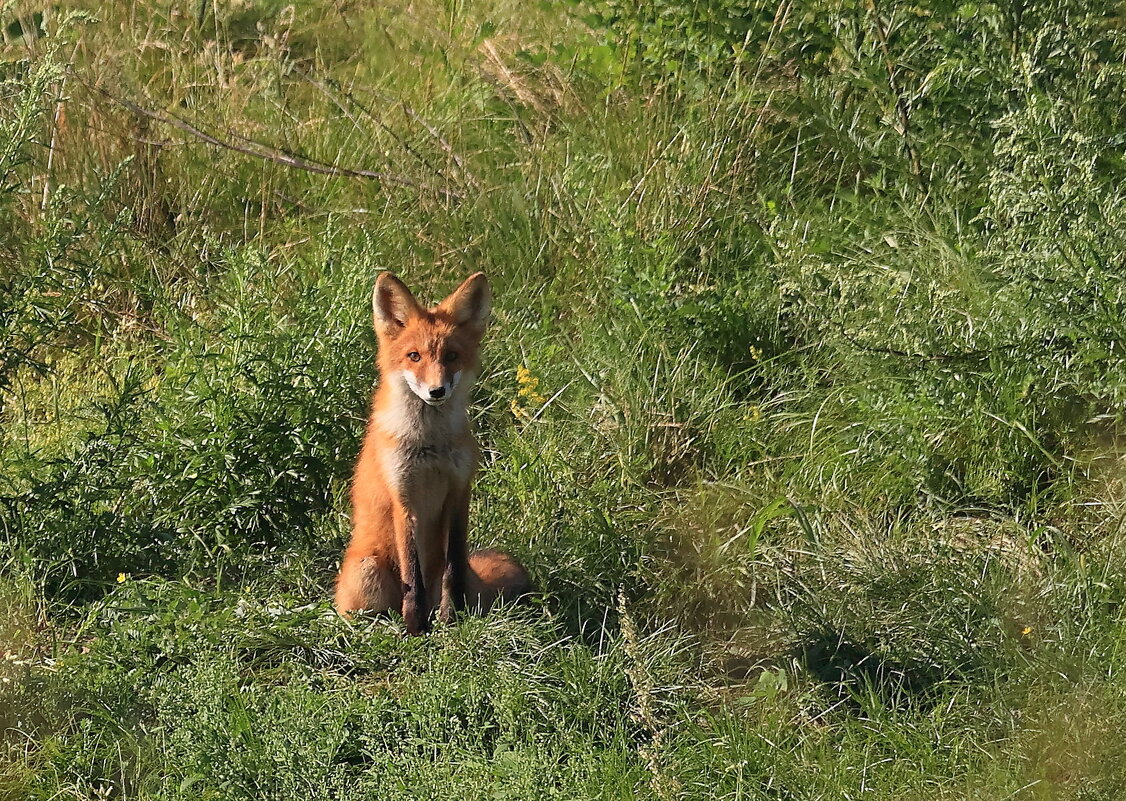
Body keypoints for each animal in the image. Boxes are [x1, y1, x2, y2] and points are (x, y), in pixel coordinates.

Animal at [333, 272, 531, 635]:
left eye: (451, 356)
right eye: (414, 356)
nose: (436, 391)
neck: (430, 447)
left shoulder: (458, 493)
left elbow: (452, 570)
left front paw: (450, 618)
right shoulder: (403, 498)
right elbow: (413, 577)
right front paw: (415, 628)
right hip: (368, 572)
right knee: (366, 610)